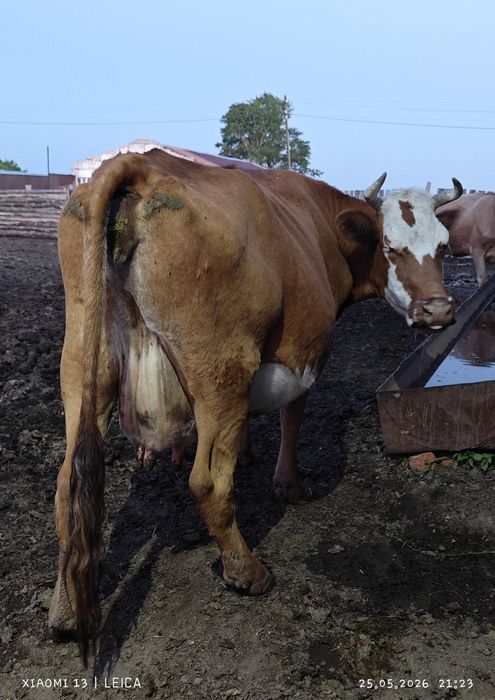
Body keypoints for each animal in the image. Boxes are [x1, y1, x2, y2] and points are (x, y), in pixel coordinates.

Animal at [48, 148, 462, 663]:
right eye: (390, 246)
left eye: (444, 246)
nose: (438, 312)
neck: (321, 223)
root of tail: (139, 166)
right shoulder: (304, 350)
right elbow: (293, 415)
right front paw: (290, 484)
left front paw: (246, 452)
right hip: (222, 369)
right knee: (207, 483)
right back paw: (247, 572)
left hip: (83, 367)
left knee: (69, 487)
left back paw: (65, 610)